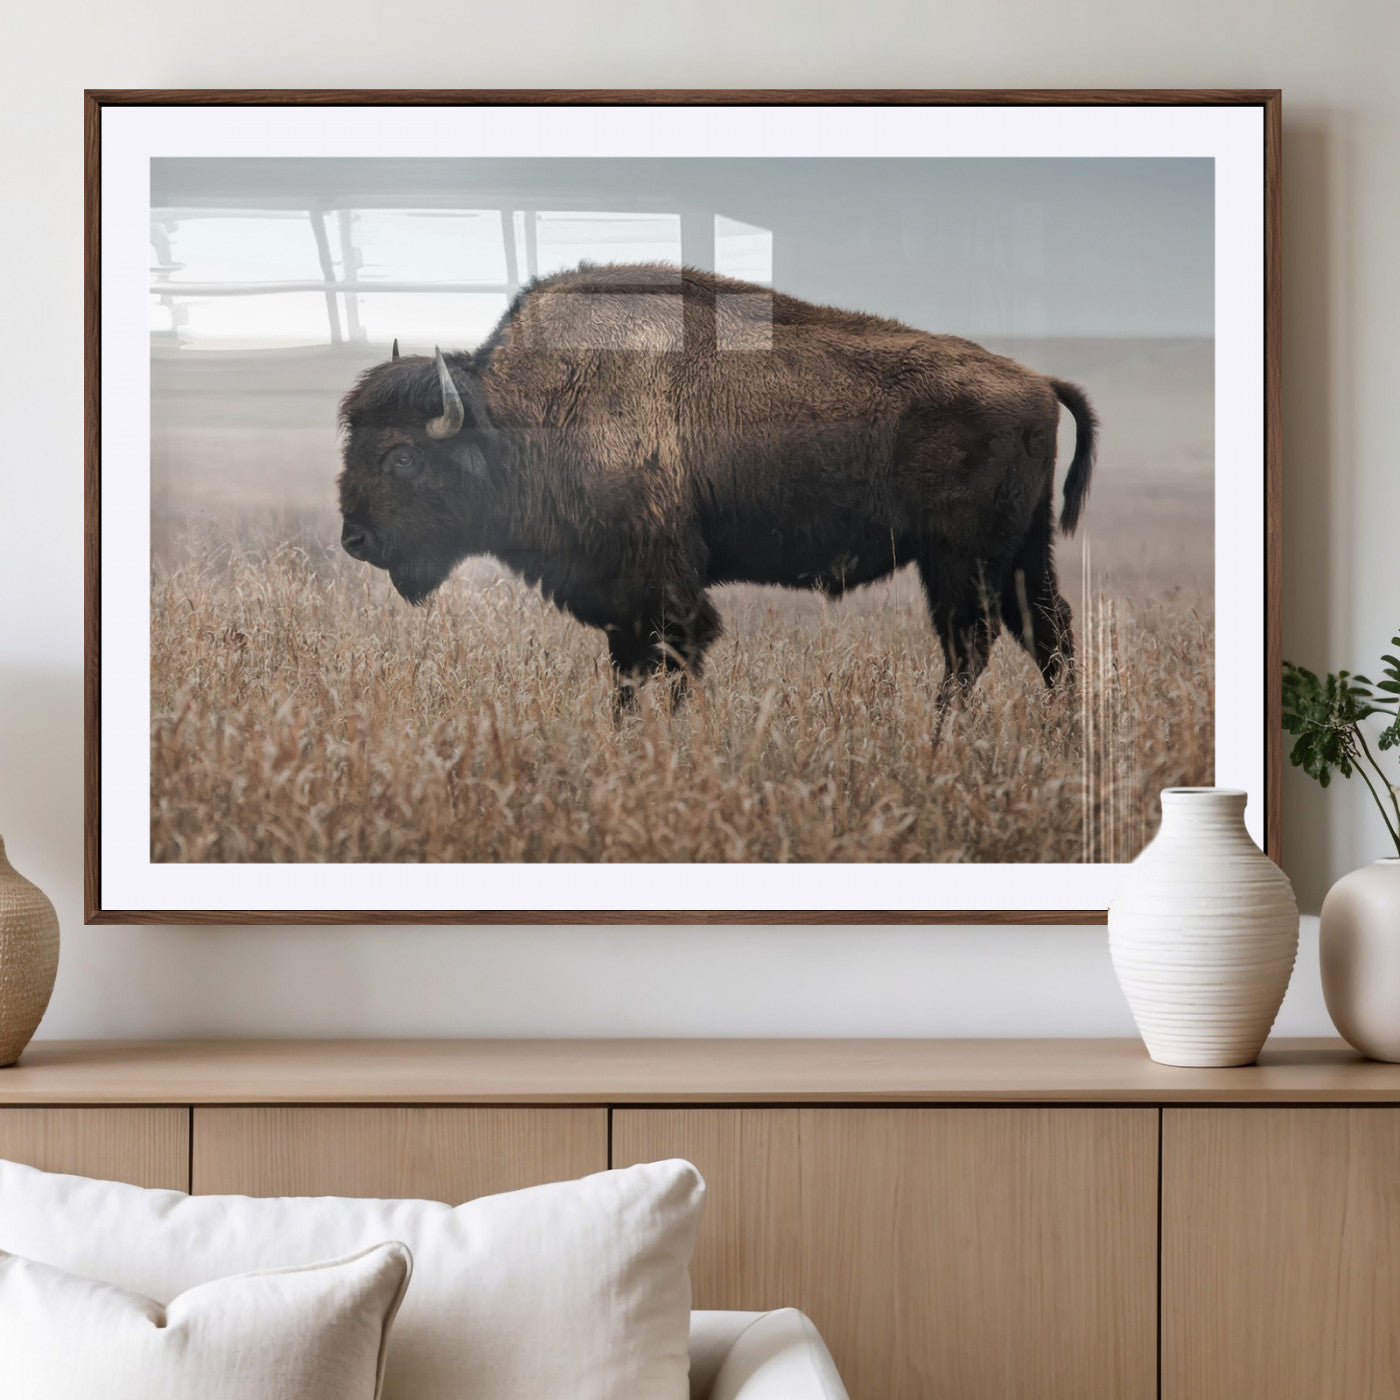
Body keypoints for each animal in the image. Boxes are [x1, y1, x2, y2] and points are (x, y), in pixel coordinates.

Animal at [338, 262, 1095, 710]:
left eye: (402, 457)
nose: (355, 540)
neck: (520, 416)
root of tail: (1036, 381)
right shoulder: (624, 603)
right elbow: (629, 673)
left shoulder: (663, 590)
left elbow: (672, 662)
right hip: (1020, 554)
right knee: (1047, 633)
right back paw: (1058, 737)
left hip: (959, 559)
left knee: (972, 644)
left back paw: (944, 739)